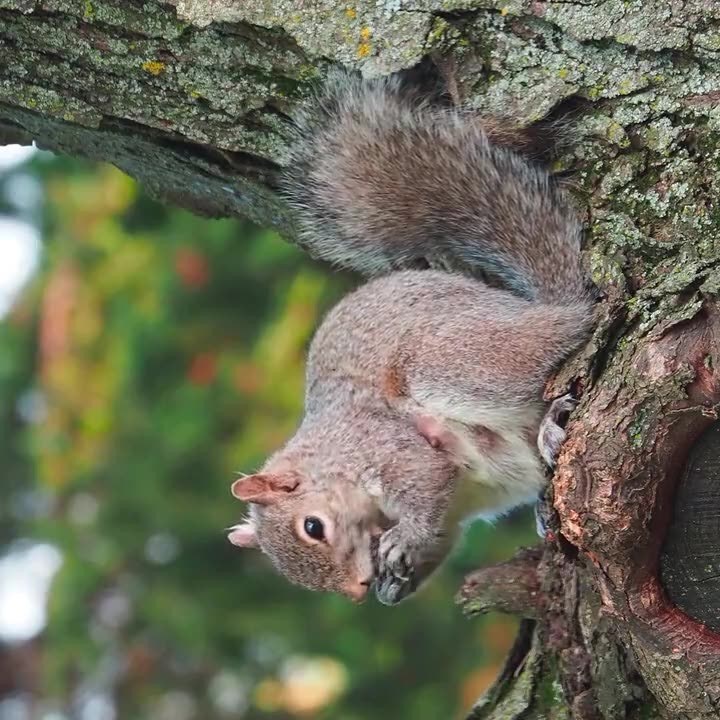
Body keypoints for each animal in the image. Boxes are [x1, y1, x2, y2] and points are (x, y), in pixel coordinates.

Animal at [227, 71, 593, 606]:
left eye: (313, 526)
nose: (357, 591)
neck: (332, 456)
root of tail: (547, 310)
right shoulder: (456, 508)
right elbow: (442, 531)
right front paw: (395, 582)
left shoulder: (389, 447)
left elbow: (425, 480)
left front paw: (405, 540)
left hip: (452, 360)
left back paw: (549, 421)